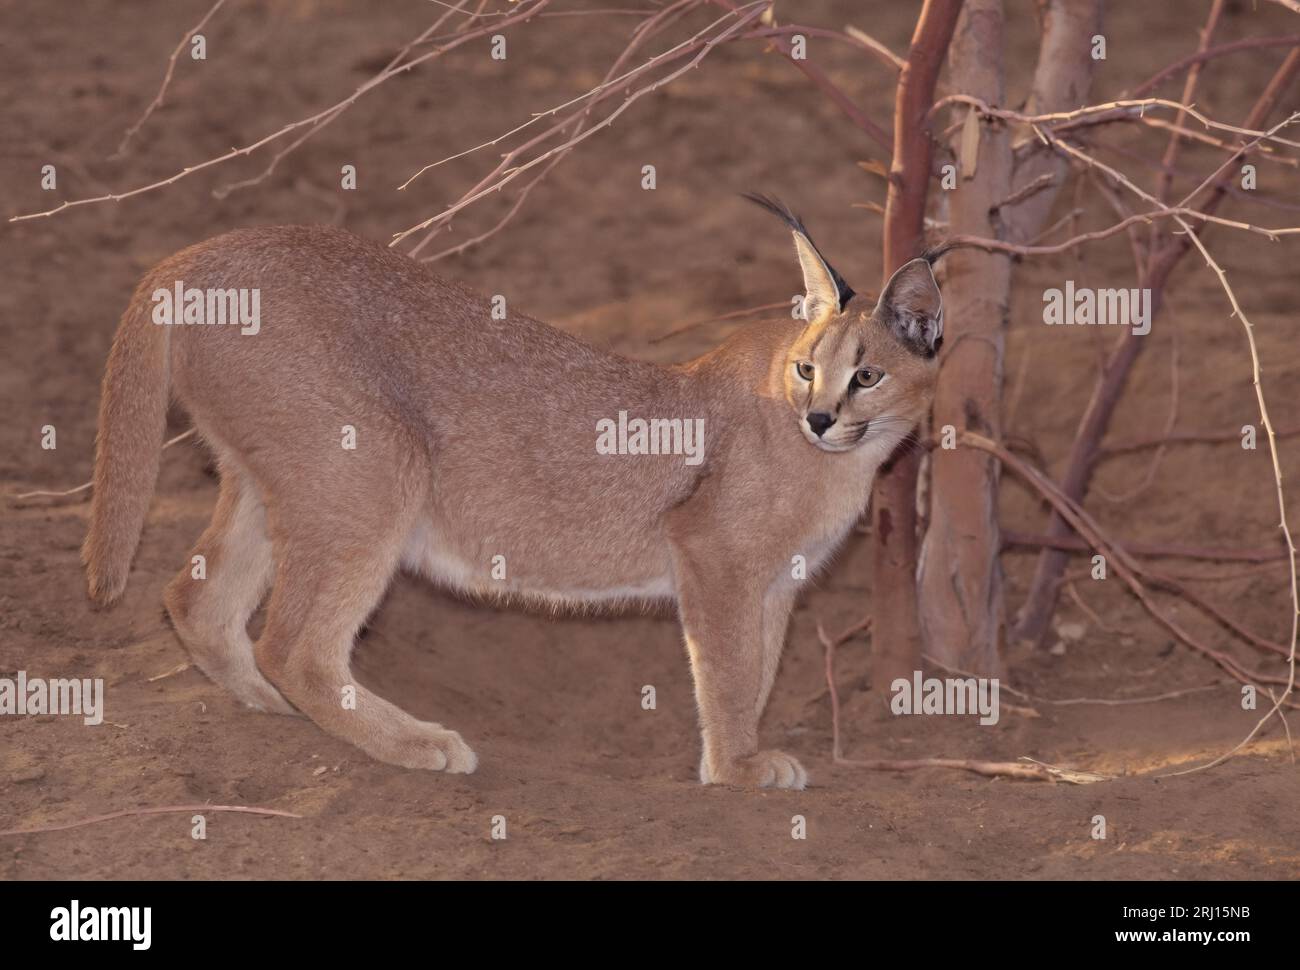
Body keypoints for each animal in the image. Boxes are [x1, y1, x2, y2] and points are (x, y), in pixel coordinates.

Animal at [83, 195, 946, 785]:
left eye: (866, 376)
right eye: (806, 368)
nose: (820, 416)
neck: (835, 461)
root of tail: (196, 255)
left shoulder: (775, 582)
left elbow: (758, 669)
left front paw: (740, 758)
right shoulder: (717, 558)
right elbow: (732, 673)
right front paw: (736, 769)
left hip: (280, 480)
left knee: (195, 596)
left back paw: (267, 707)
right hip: (378, 465)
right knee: (292, 644)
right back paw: (413, 742)